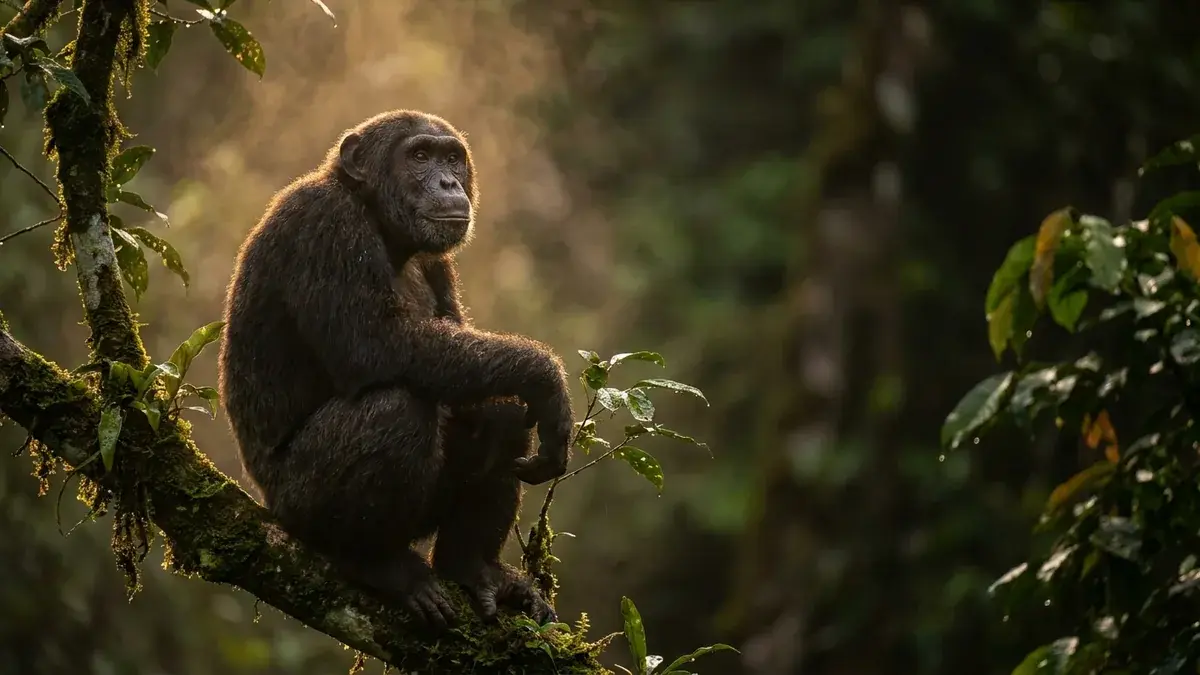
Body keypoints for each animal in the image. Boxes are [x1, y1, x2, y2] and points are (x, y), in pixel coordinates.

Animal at [217, 109, 574, 629]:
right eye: (419, 155)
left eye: (452, 158)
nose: (448, 182)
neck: (384, 229)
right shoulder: (324, 225)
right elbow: (374, 345)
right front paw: (544, 377)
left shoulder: (439, 265)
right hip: (296, 506)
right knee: (396, 409)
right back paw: (376, 563)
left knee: (502, 409)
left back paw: (471, 566)